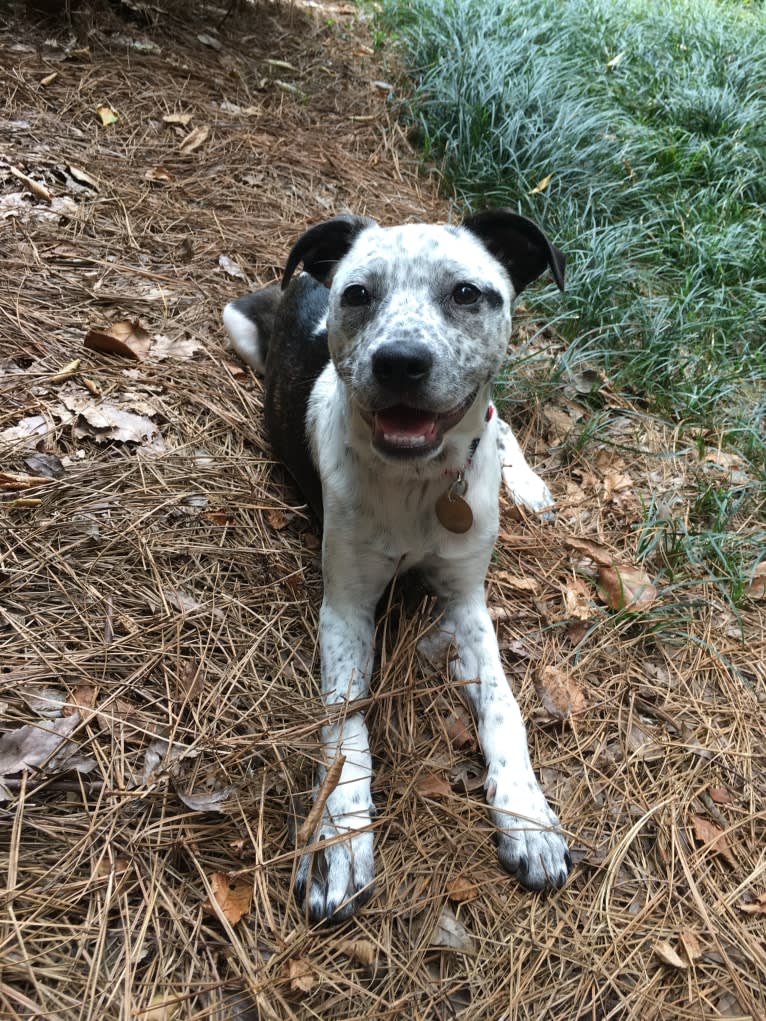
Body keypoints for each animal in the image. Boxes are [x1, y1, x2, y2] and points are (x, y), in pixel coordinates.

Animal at [221, 211, 571, 922]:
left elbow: (505, 708)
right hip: (237, 325)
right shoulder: (345, 609)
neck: (419, 485)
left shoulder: (466, 603)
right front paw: (339, 841)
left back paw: (528, 484)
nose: (401, 362)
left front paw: (528, 816)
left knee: (501, 421)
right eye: (358, 293)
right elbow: (344, 730)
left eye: (467, 293)